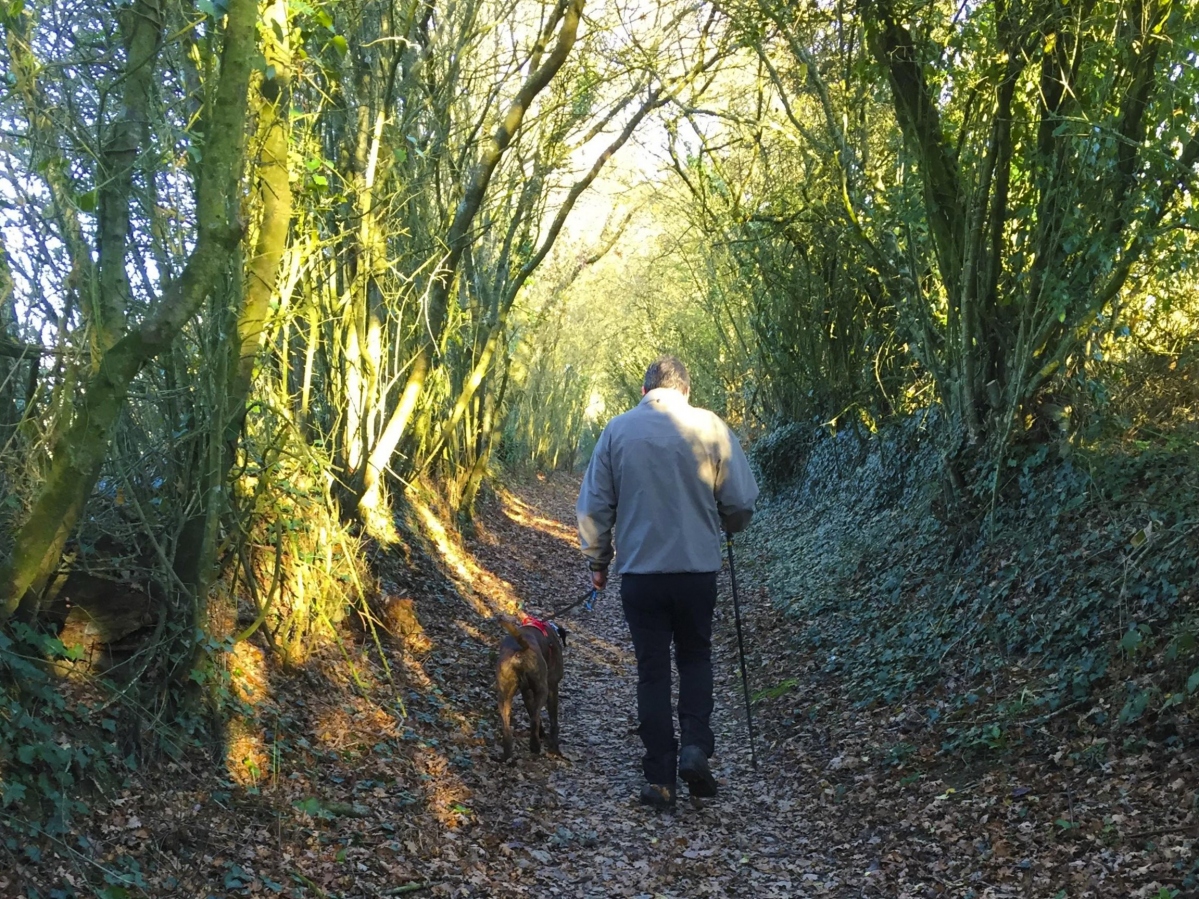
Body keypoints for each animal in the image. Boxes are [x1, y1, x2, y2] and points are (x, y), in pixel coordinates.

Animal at [498, 618, 568, 762]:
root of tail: (520, 651)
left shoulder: (526, 692)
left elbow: (532, 711)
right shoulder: (553, 687)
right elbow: (553, 720)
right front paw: (554, 747)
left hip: (504, 698)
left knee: (507, 727)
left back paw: (508, 756)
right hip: (542, 689)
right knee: (534, 720)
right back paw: (535, 746)